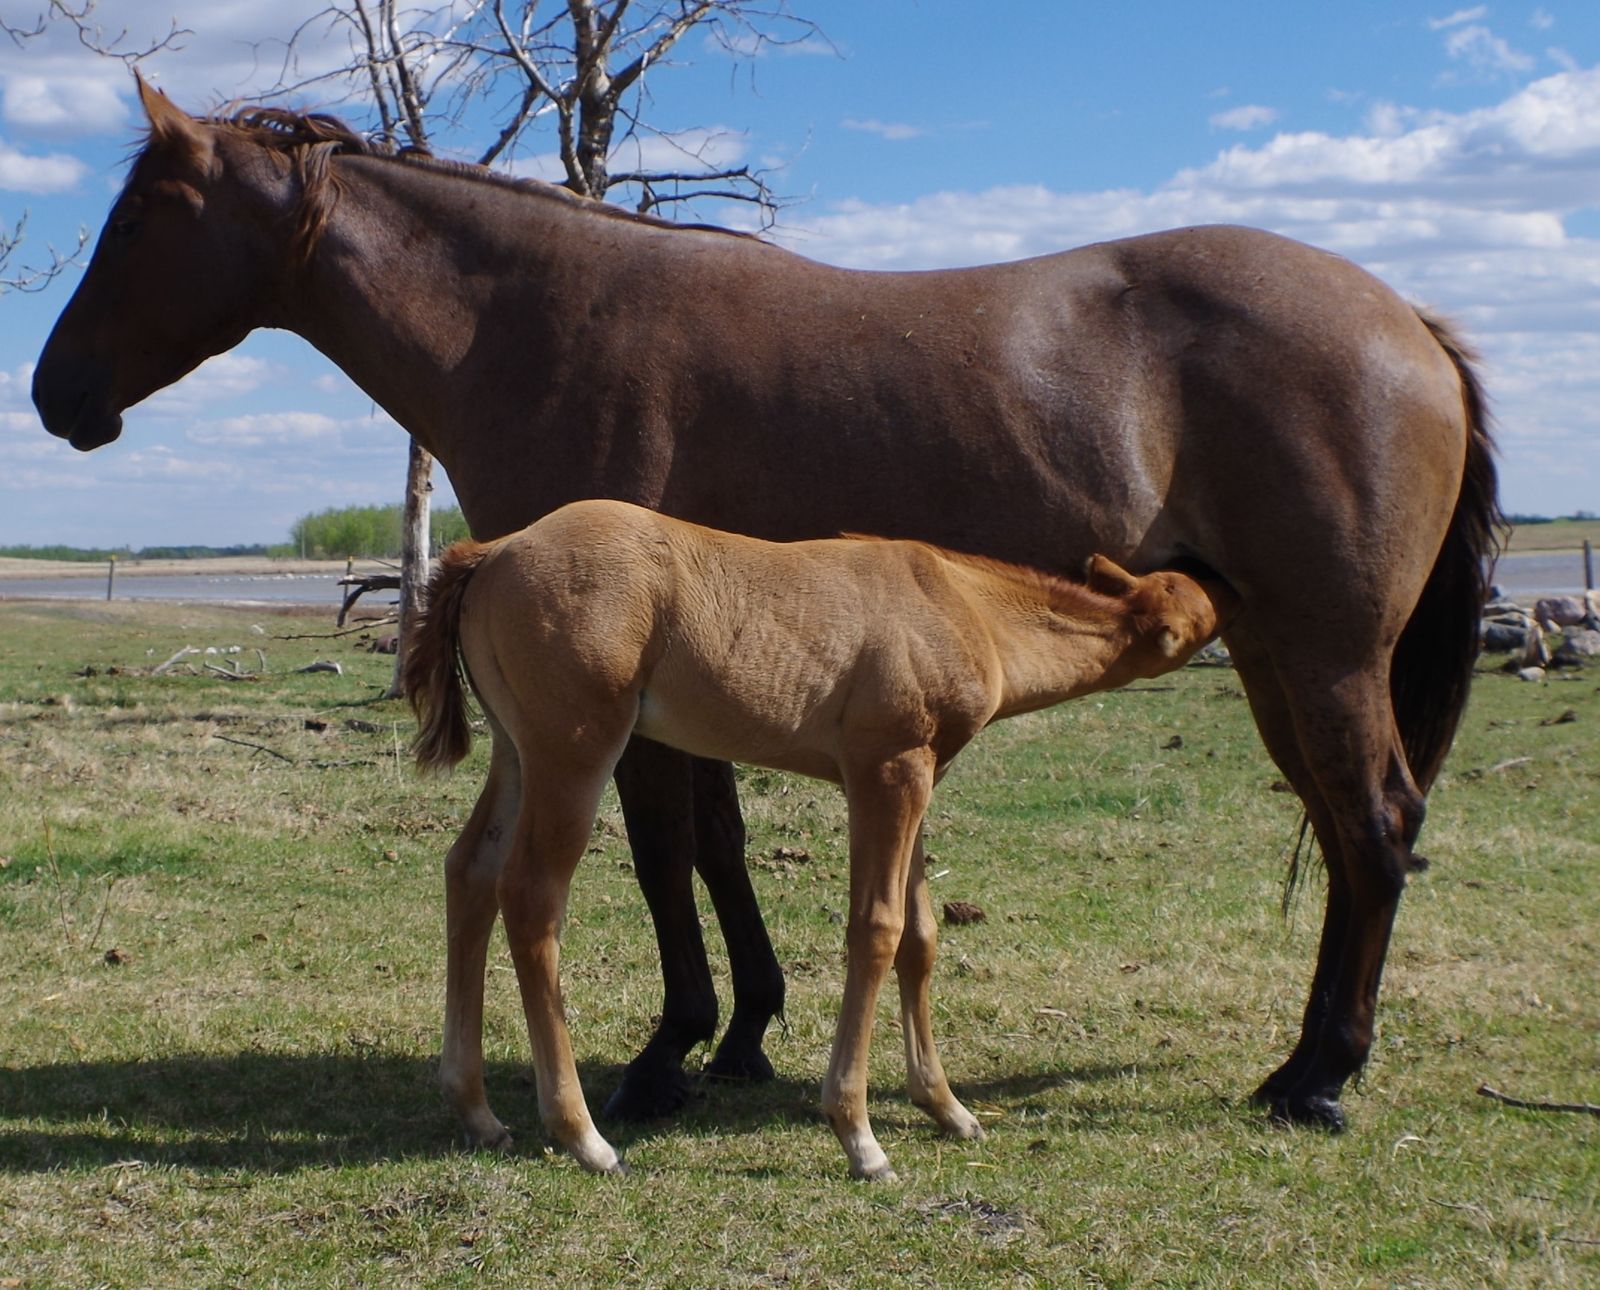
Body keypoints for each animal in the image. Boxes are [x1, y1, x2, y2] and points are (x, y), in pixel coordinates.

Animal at [403, 498, 1239, 1177]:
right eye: (1204, 613)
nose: (1230, 580)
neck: (961, 605)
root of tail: (492, 552)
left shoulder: (918, 779)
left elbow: (921, 937)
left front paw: (947, 1108)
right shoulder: (887, 772)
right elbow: (877, 930)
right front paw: (859, 1135)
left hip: (517, 750)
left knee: (469, 872)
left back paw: (477, 1113)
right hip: (575, 750)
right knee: (531, 897)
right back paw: (582, 1136)